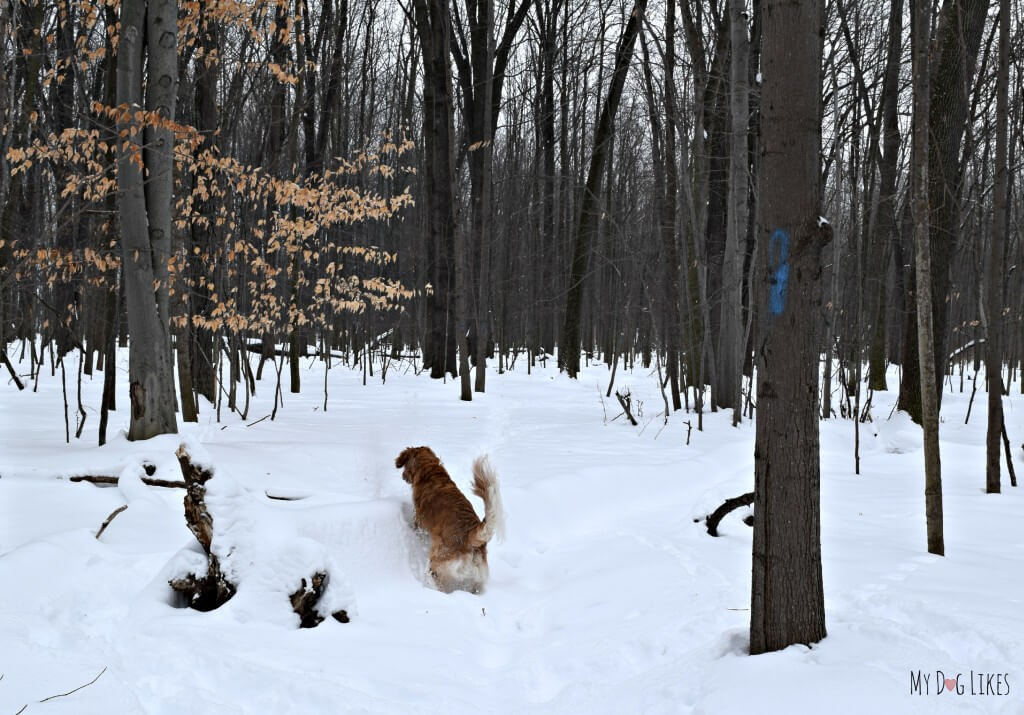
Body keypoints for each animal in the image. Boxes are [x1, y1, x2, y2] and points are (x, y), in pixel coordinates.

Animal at [393, 446, 501, 590]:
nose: (403, 476)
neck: (431, 473)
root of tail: (471, 536)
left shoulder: (419, 523)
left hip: (438, 561)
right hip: (476, 579)